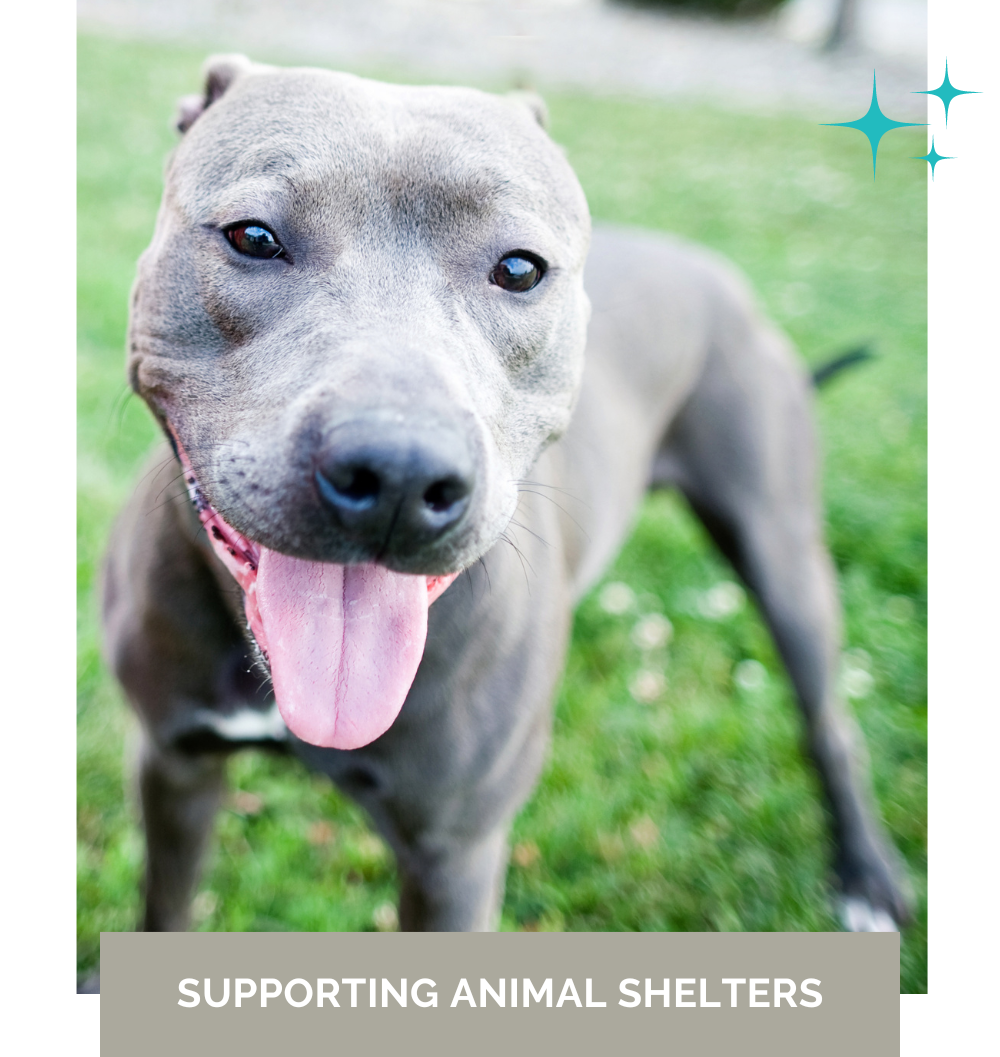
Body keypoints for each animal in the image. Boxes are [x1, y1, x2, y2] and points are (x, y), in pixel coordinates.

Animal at [105, 55, 909, 934]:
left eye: (520, 267)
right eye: (253, 236)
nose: (397, 473)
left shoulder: (456, 853)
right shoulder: (174, 765)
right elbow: (166, 905)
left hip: (782, 552)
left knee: (830, 721)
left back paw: (867, 878)